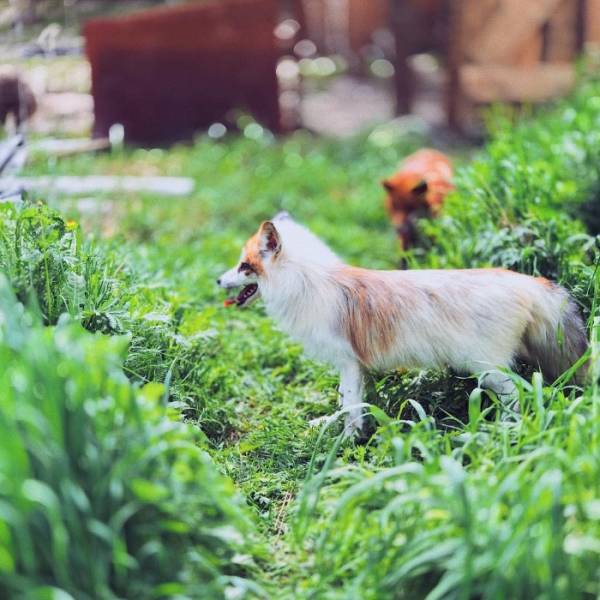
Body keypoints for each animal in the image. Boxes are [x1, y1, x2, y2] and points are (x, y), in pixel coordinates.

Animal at [218, 213, 588, 434]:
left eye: (243, 266)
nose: (218, 280)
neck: (309, 284)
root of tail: (526, 280)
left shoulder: (348, 361)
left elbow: (350, 407)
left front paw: (348, 441)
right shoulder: (355, 367)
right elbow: (347, 403)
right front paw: (336, 426)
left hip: (488, 370)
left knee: (522, 394)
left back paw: (508, 428)